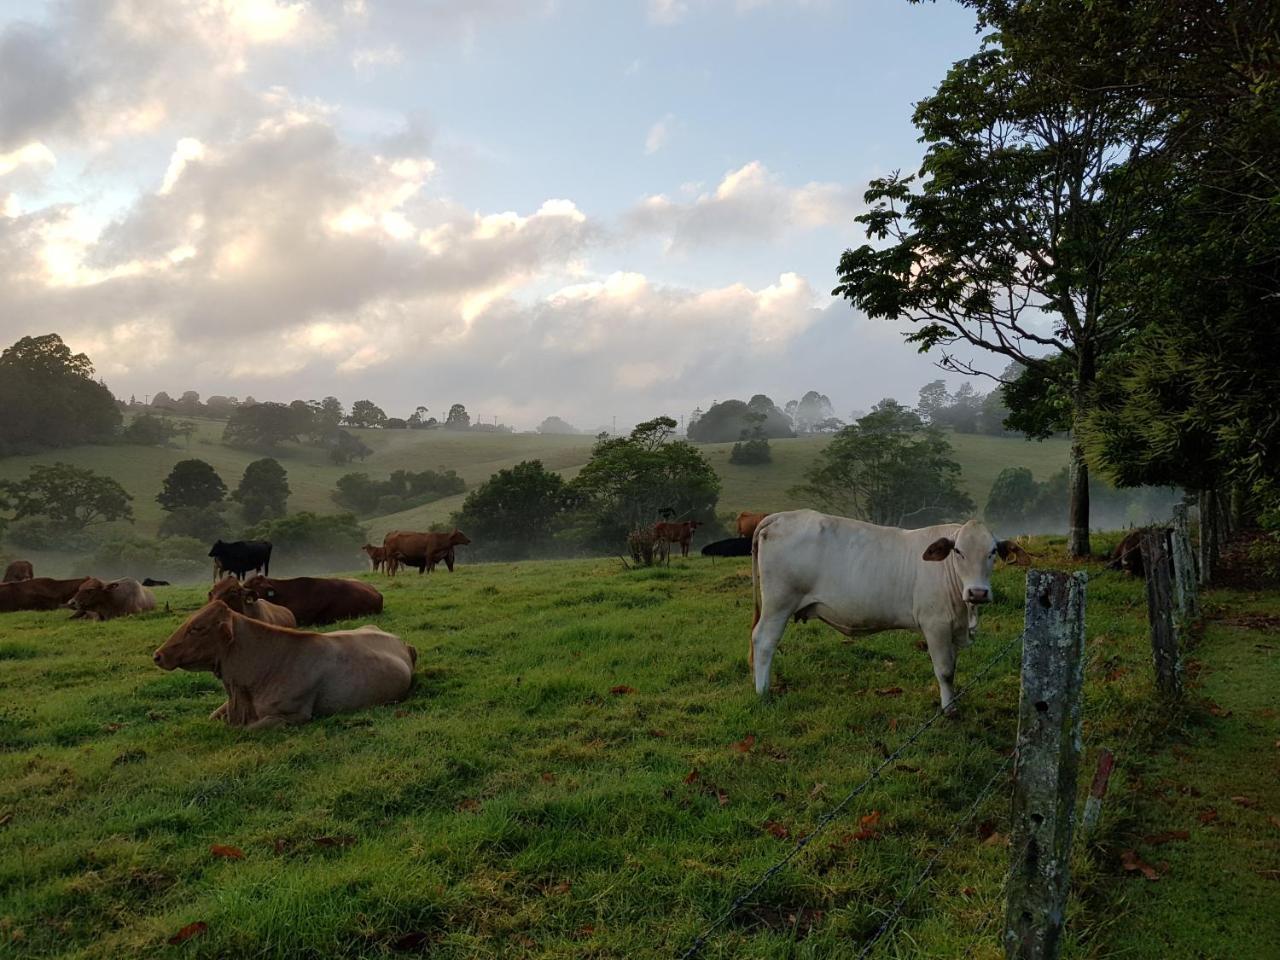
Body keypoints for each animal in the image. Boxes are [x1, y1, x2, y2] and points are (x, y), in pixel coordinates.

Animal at [747, 512, 1029, 716]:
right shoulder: (935, 625)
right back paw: (763, 692)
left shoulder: (952, 629)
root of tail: (782, 515)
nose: (978, 592)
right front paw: (949, 710)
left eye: (993, 552)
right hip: (778, 604)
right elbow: (945, 670)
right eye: (958, 551)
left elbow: (953, 668)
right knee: (763, 642)